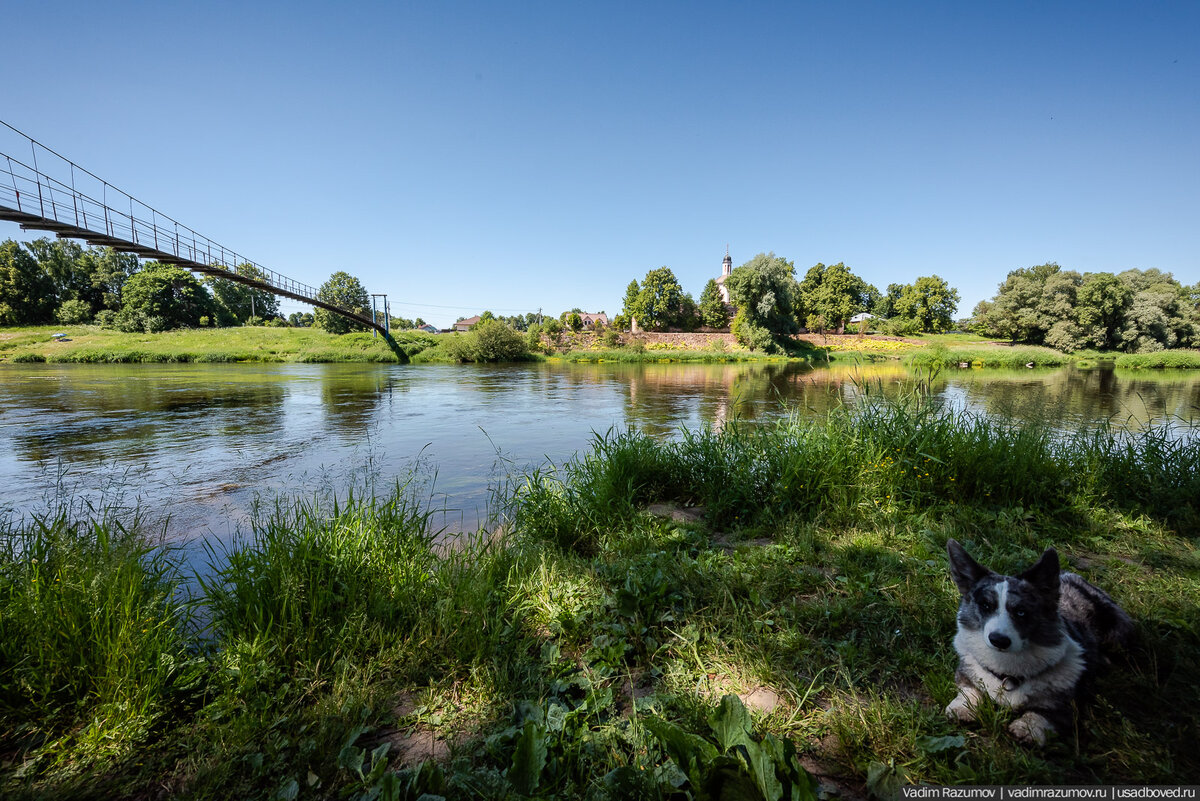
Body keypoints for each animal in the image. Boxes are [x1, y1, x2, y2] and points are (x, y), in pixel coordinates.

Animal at [940, 537, 1128, 743]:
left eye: (1021, 612)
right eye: (985, 605)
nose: (999, 640)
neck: (1007, 673)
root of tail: (1075, 576)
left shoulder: (1068, 707)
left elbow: (1044, 714)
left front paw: (1026, 729)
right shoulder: (966, 672)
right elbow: (970, 688)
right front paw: (962, 709)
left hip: (1117, 632)